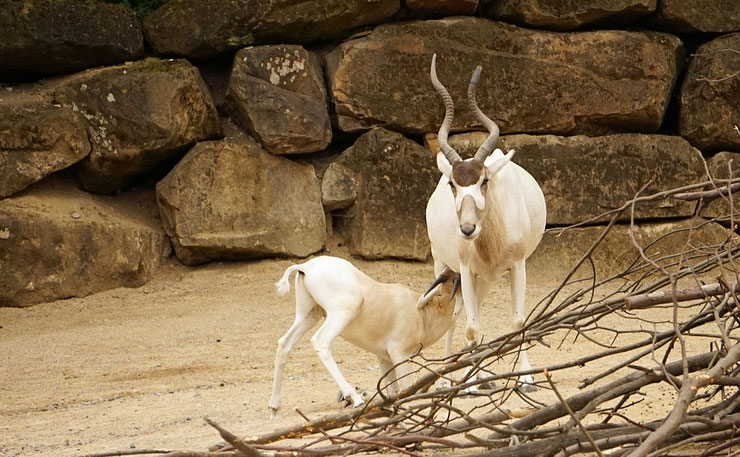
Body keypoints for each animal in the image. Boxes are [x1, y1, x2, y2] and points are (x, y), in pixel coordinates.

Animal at [268, 255, 460, 418]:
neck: (422, 313)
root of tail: (306, 267)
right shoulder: (400, 355)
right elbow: (406, 388)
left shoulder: (384, 358)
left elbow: (392, 392)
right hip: (341, 313)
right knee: (321, 341)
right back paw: (355, 398)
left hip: (309, 315)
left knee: (284, 344)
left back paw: (275, 407)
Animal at [420, 53, 548, 388]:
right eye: (453, 184)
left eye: (484, 181)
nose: (467, 229)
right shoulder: (465, 270)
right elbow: (472, 327)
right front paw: (470, 384)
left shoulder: (518, 265)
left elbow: (518, 320)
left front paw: (524, 378)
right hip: (446, 266)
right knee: (455, 317)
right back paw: (451, 377)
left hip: (486, 279)